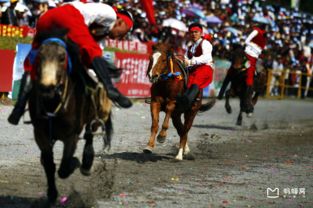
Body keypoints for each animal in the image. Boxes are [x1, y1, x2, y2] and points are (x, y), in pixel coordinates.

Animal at [27, 30, 111, 204]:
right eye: (39, 56)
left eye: (61, 57)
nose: (47, 87)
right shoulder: (40, 134)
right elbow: (49, 164)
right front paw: (52, 194)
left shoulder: (71, 135)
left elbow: (65, 167)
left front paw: (75, 162)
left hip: (95, 116)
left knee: (90, 134)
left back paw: (86, 164)